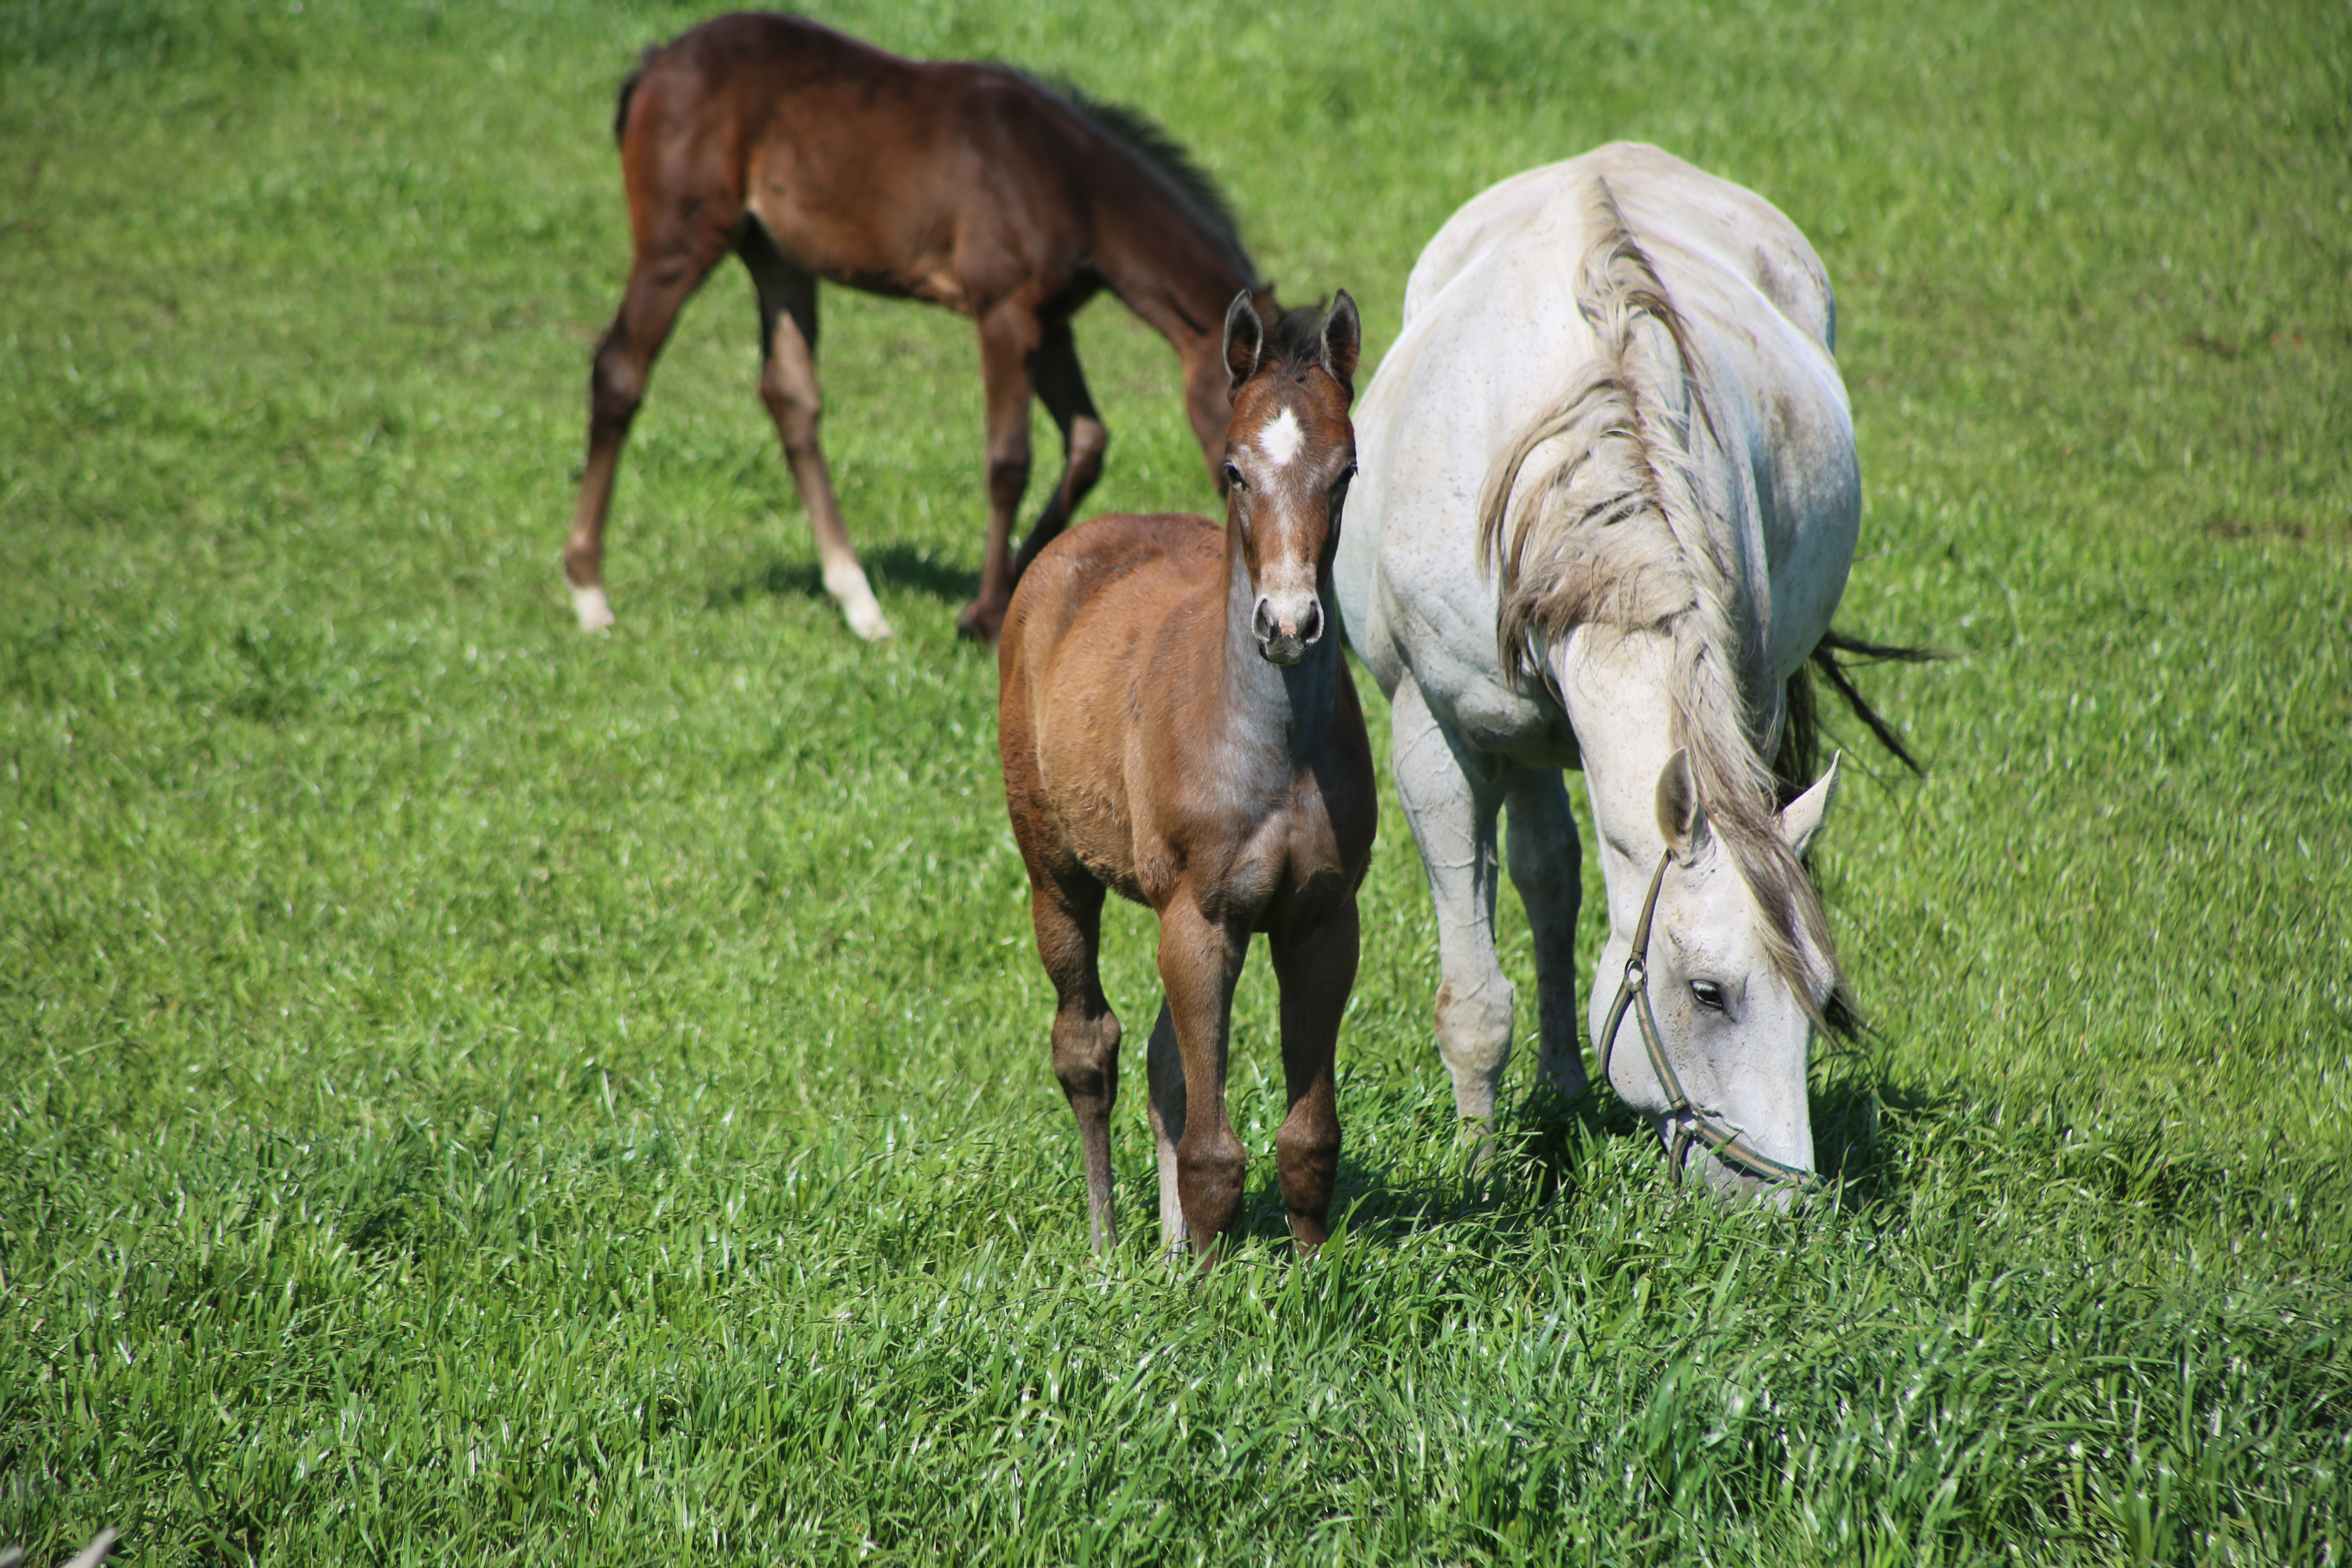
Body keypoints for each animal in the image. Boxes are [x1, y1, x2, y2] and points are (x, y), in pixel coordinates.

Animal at [559, 15, 1270, 639]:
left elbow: (1088, 440)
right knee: (620, 369)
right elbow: (1009, 459)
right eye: (1240, 411)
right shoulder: (1003, 310)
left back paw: (861, 605)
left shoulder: (1050, 323)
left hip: (776, 258)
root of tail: (656, 62)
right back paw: (590, 594)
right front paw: (981, 613)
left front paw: (1020, 577)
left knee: (789, 397)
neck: (1069, 181)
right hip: (678, 243)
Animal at [997, 288, 1373, 1260]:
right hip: (1056, 871)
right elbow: (1211, 1149)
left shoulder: (1323, 921)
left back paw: (1164, 1250)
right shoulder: (1204, 917)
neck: (1274, 750)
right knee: (1087, 1044)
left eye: (1346, 472)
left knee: (1165, 1061)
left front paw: (1306, 1272)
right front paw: (1210, 1279)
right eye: (1235, 470)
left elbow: (1308, 1139)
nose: (1290, 623)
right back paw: (1104, 1244)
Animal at [1336, 147, 1900, 1194]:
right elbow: (1475, 999)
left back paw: (1564, 1083)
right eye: (1707, 991)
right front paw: (1481, 1173)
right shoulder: (1436, 738)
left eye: (1816, 993)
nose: (1784, 1206)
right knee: (1546, 877)